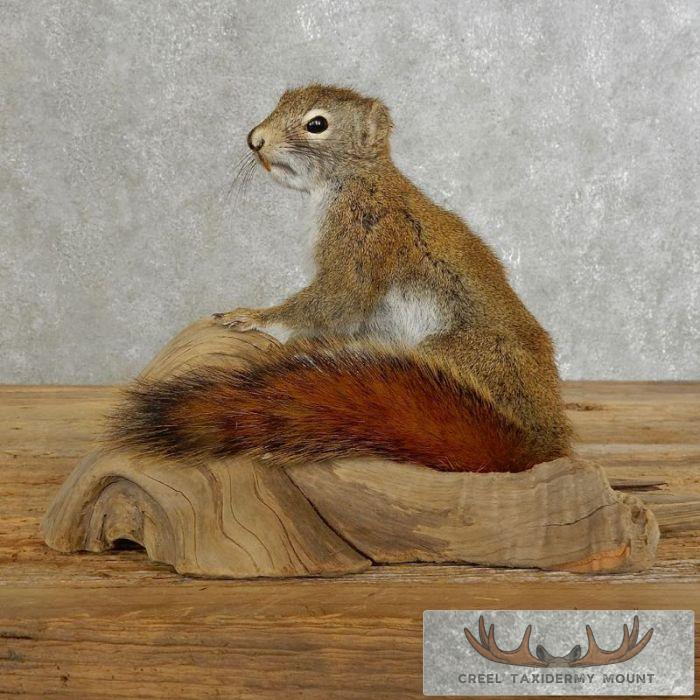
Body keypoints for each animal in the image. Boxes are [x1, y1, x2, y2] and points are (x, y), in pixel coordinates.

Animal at [111, 84, 572, 473]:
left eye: (317, 124)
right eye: (280, 101)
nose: (255, 140)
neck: (357, 181)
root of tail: (535, 444)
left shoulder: (363, 241)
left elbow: (335, 299)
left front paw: (256, 317)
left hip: (458, 352)